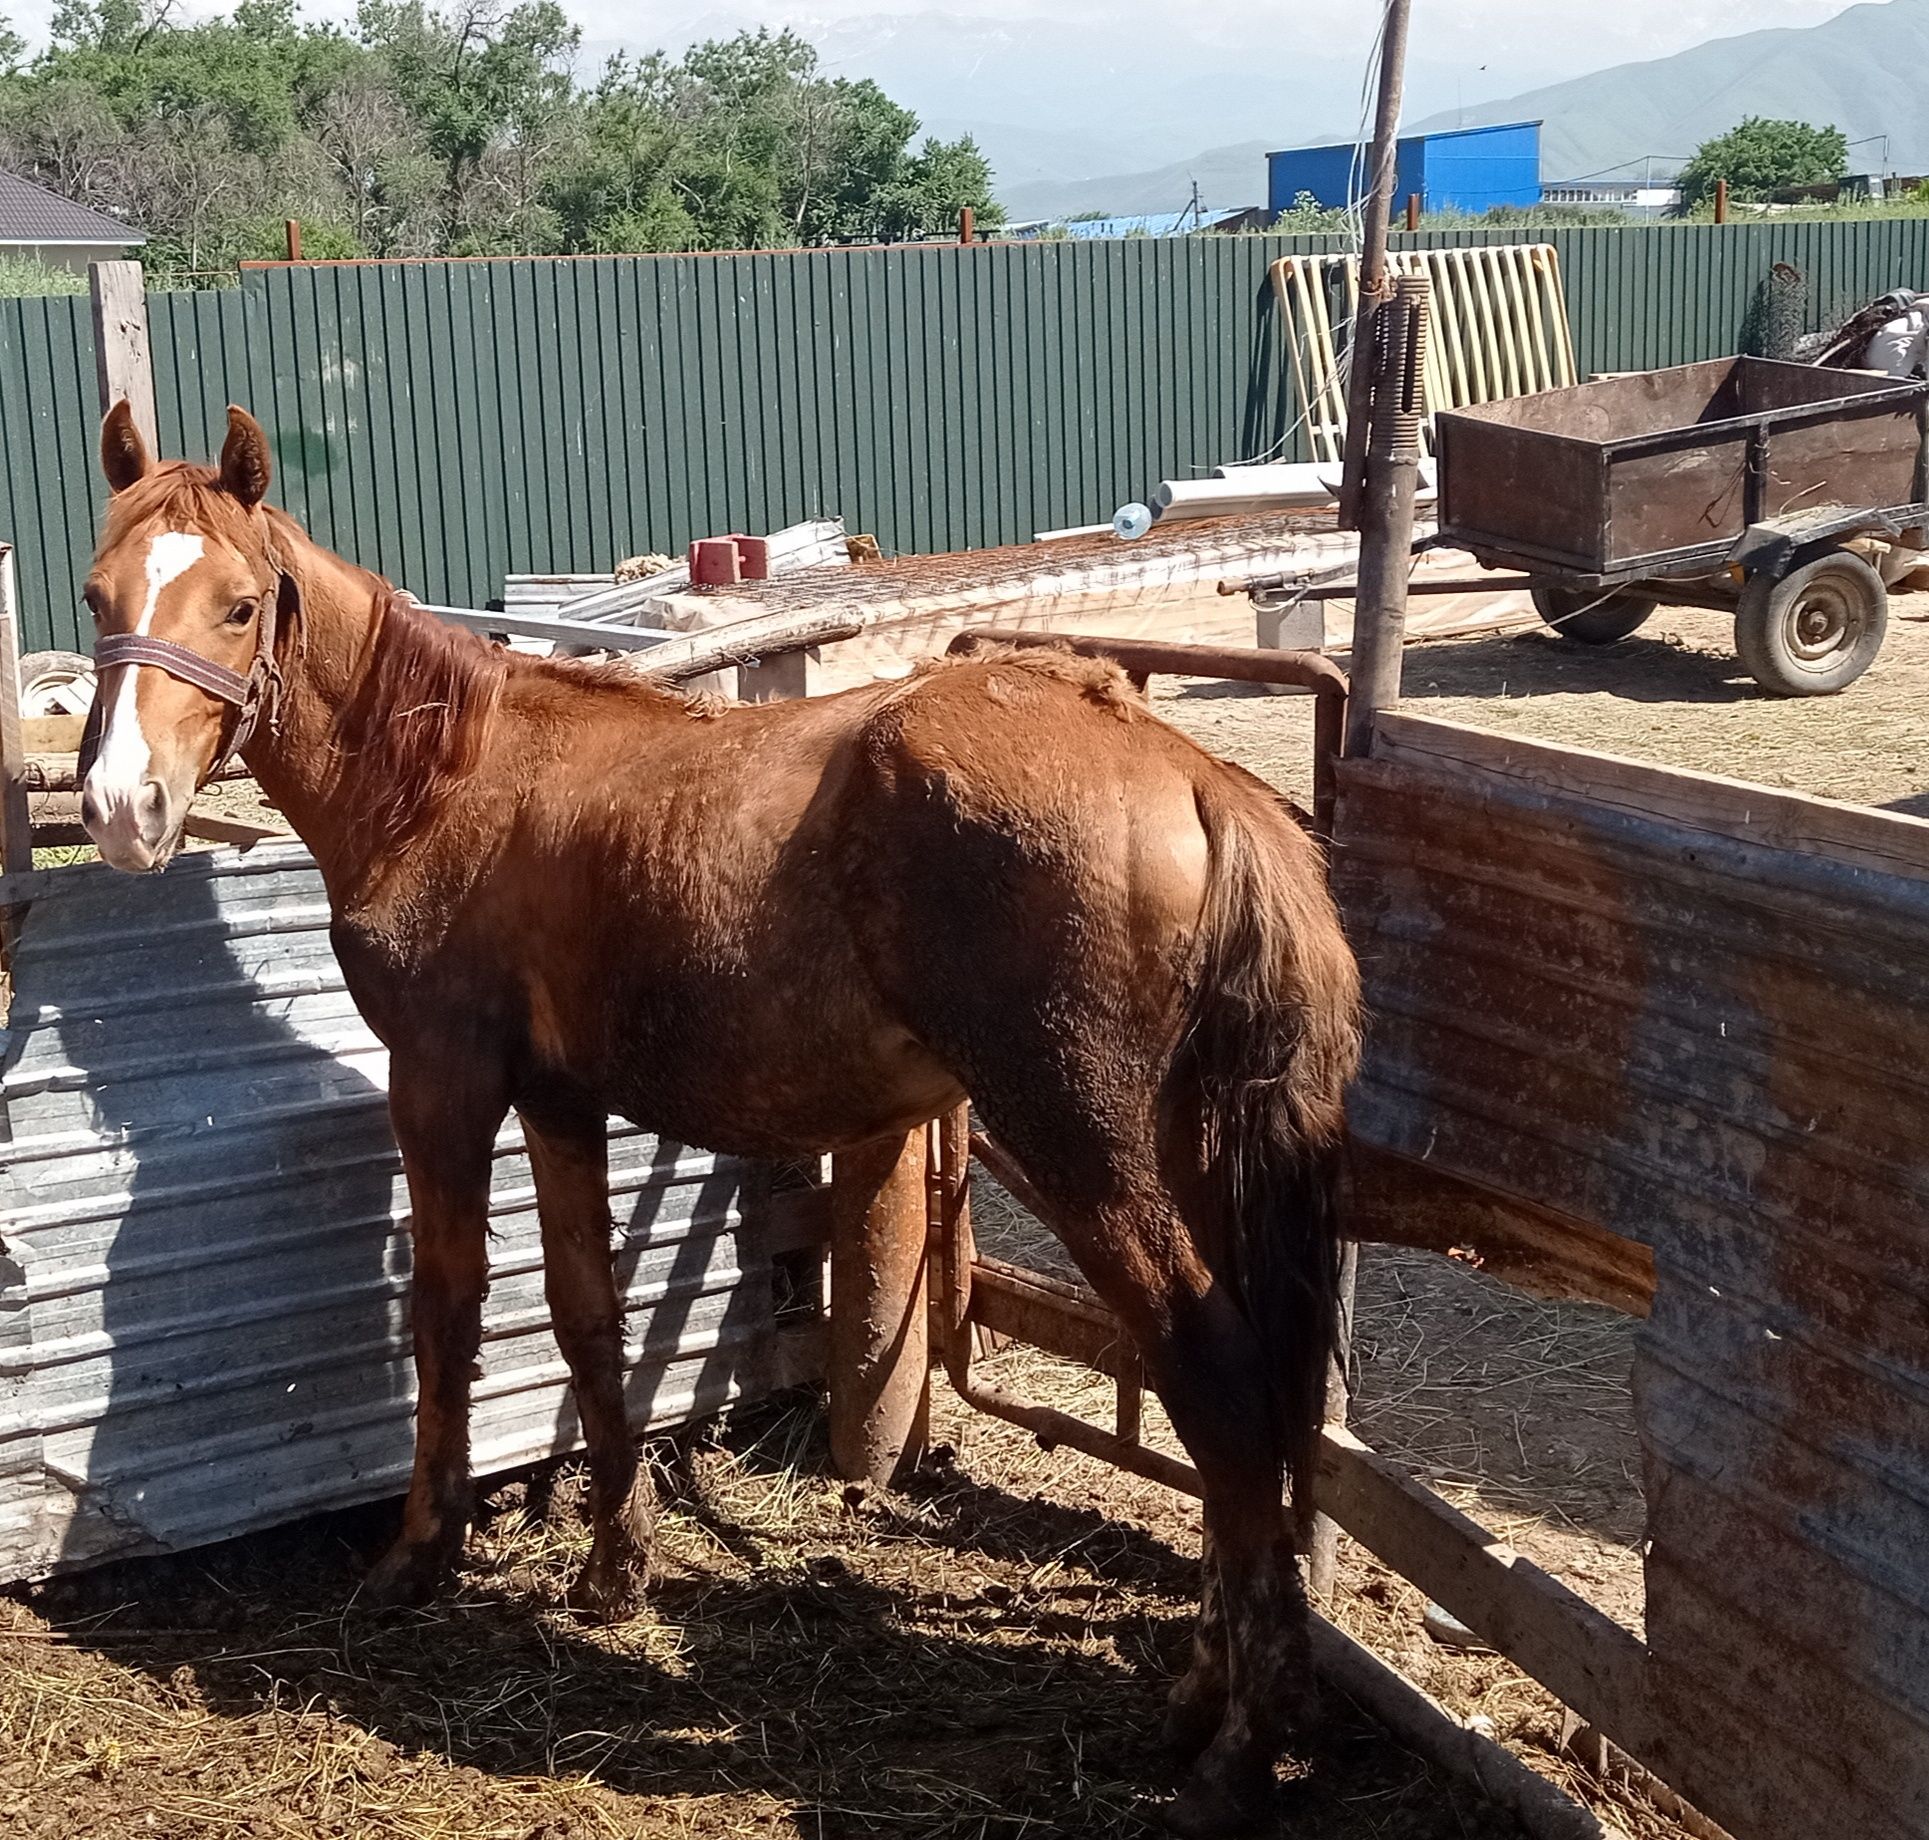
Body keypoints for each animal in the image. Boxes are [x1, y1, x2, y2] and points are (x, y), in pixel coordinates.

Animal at [79, 405, 1358, 1836]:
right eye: (97, 595)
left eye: (240, 604)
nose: (119, 810)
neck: (447, 776)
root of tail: (1190, 774)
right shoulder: (560, 1102)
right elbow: (586, 1318)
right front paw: (614, 1568)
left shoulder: (443, 1082)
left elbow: (448, 1312)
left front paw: (419, 1553)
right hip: (1188, 1157)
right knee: (1249, 1402)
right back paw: (1203, 1701)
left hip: (1089, 1149)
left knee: (1219, 1380)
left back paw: (1238, 1752)